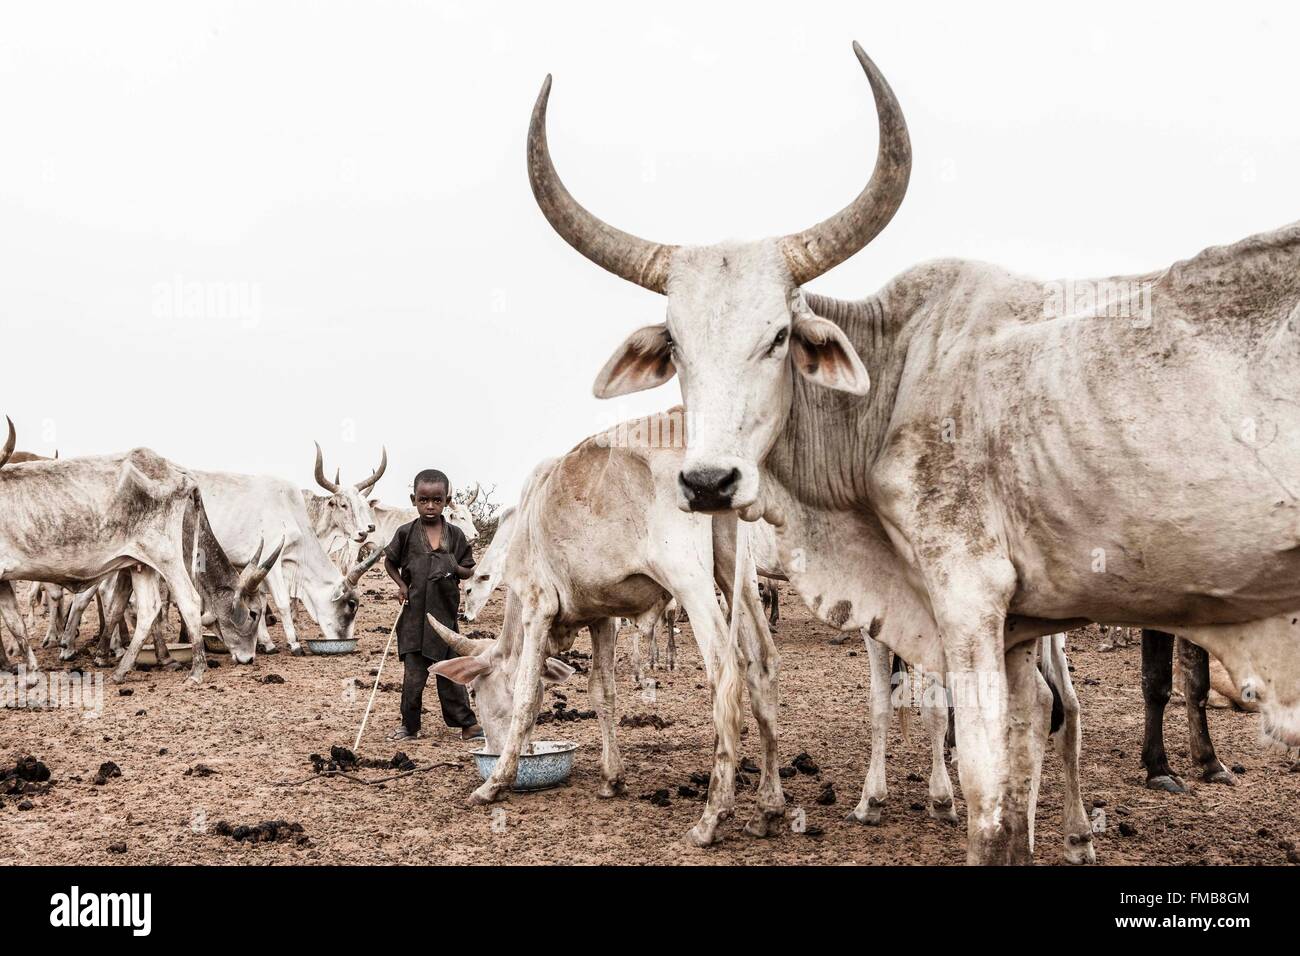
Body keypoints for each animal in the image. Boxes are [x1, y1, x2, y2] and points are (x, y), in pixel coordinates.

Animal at [0, 418, 274, 681]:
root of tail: (178, 473)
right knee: (155, 607)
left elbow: (115, 604)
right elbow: (16, 621)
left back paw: (192, 670)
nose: (249, 657)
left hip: (161, 557)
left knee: (181, 600)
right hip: (148, 561)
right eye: (253, 613)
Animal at [189, 468, 379, 655]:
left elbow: (259, 602)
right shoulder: (271, 560)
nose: (345, 640)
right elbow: (282, 602)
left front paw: (266, 643)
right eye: (351, 604)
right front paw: (294, 644)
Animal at [423, 416, 780, 848]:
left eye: (477, 691)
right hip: (737, 574)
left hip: (689, 579)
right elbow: (602, 690)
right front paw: (612, 778)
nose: (489, 748)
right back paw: (766, 810)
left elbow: (526, 692)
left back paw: (712, 816)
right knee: (762, 662)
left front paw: (495, 783)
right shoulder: (602, 616)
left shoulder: (537, 605)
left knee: (726, 671)